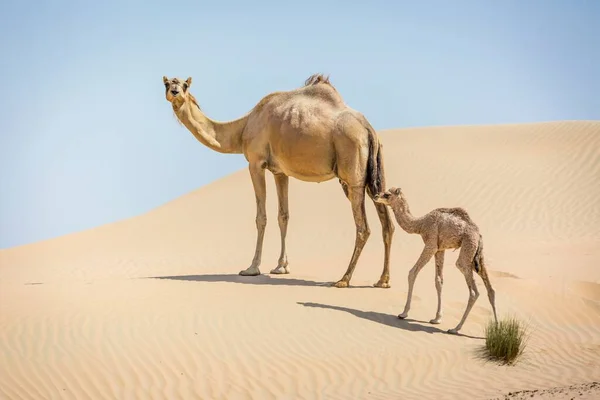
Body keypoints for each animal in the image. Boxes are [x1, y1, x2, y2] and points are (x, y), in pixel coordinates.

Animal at [161, 73, 394, 288]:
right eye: (167, 83)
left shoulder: (255, 163)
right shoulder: (280, 172)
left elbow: (261, 217)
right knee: (387, 223)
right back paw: (382, 280)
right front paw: (282, 266)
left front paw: (252, 268)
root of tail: (369, 130)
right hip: (375, 176)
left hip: (352, 175)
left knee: (363, 227)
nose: (175, 92)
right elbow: (283, 215)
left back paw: (344, 279)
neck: (243, 127)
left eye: (184, 85)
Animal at [376, 188, 496, 334]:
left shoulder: (431, 244)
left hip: (467, 247)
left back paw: (456, 328)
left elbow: (412, 272)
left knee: (473, 290)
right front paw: (437, 318)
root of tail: (478, 235)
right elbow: (439, 280)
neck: (420, 224)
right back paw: (497, 328)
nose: (376, 195)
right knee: (490, 289)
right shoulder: (440, 249)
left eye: (387, 194)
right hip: (477, 254)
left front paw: (403, 313)